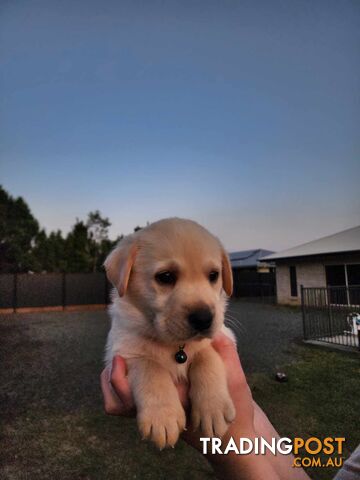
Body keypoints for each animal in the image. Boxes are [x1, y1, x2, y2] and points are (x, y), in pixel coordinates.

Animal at [103, 218, 236, 450]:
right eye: (165, 277)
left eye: (213, 275)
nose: (204, 318)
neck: (176, 345)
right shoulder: (123, 352)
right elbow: (151, 367)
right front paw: (162, 417)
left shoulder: (218, 338)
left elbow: (207, 358)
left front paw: (213, 408)